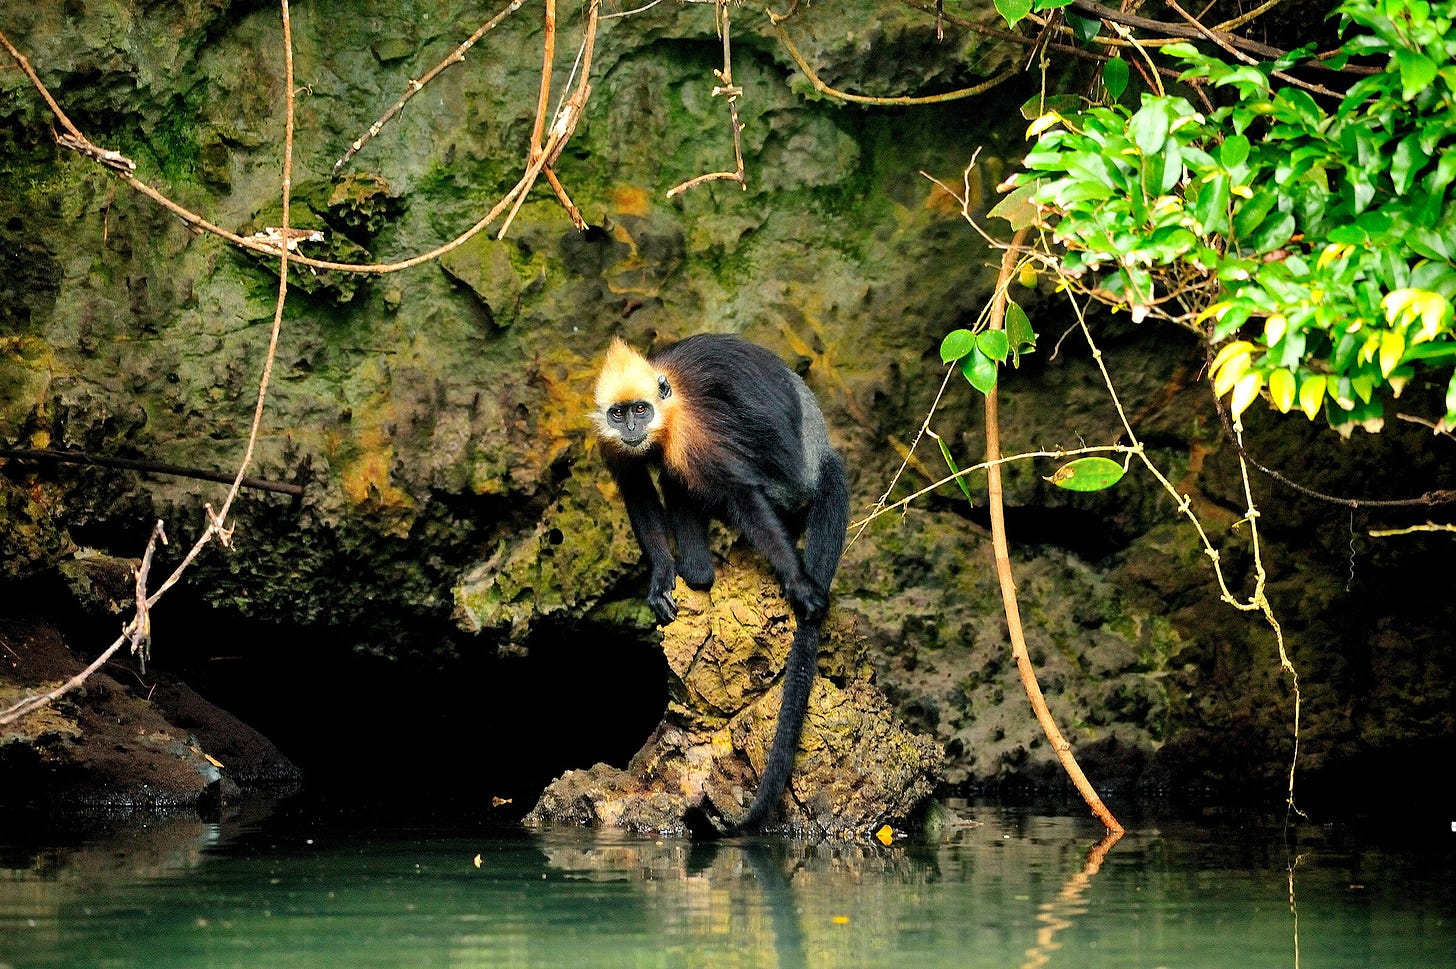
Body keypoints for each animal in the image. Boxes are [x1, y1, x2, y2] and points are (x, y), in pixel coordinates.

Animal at [591, 334, 850, 832]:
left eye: (641, 410)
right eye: (619, 413)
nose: (632, 427)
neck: (666, 414)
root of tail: (822, 455)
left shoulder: (694, 436)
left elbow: (740, 492)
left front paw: (798, 580)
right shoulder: (612, 446)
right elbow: (636, 490)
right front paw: (661, 579)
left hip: (791, 488)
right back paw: (698, 571)